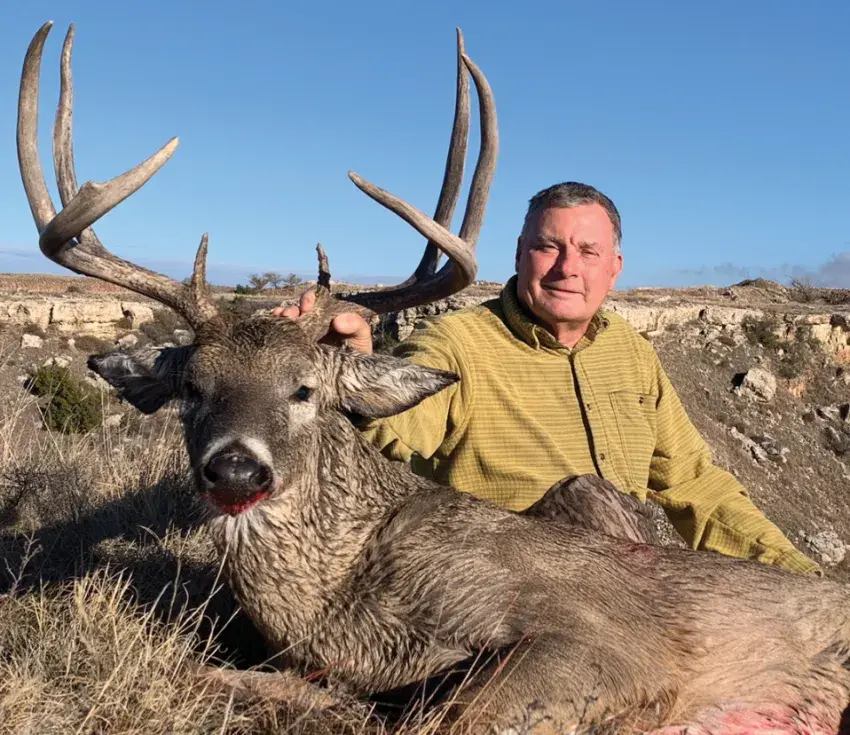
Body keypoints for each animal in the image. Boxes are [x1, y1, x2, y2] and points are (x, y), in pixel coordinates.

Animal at [16, 20, 850, 735]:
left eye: (305, 389)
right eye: (191, 388)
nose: (235, 467)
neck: (343, 598)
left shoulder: (606, 638)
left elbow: (438, 716)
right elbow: (217, 674)